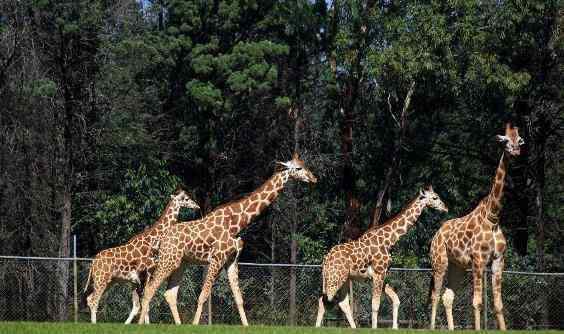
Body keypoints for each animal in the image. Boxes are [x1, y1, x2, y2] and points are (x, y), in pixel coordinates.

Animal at [82, 187, 199, 322]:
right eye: (185, 198)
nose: (197, 206)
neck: (153, 240)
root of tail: (93, 263)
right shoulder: (144, 274)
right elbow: (145, 303)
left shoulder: (137, 280)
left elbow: (139, 305)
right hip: (101, 279)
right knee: (94, 300)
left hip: (109, 281)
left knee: (90, 298)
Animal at [135, 154, 318, 326]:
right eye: (298, 168)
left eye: (305, 165)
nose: (314, 178)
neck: (238, 222)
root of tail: (161, 240)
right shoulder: (217, 258)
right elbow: (203, 296)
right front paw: (195, 325)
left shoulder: (232, 260)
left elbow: (239, 298)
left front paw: (246, 326)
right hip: (168, 259)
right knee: (149, 289)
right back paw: (140, 324)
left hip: (181, 263)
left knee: (169, 293)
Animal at [316, 185, 448, 328]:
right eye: (435, 197)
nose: (445, 208)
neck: (389, 241)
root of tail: (326, 260)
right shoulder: (378, 273)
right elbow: (375, 305)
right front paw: (374, 328)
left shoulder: (383, 274)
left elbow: (396, 300)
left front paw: (395, 328)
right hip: (335, 277)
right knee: (323, 300)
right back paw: (317, 327)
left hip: (345, 278)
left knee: (342, 303)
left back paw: (353, 328)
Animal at [430, 121, 528, 330]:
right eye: (505, 140)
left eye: (519, 140)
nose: (515, 151)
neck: (493, 217)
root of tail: (436, 235)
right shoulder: (478, 260)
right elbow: (477, 302)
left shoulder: (498, 260)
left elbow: (498, 304)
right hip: (439, 262)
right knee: (435, 295)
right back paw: (431, 328)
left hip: (457, 267)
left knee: (447, 297)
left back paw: (451, 329)